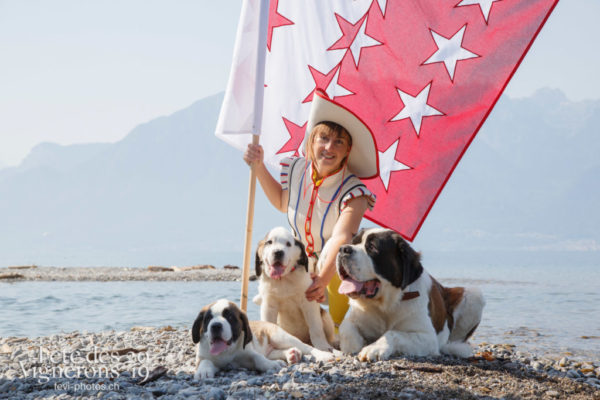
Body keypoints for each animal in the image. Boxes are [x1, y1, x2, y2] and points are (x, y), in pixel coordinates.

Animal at [191, 298, 336, 380]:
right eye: (207, 319)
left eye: (230, 317)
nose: (215, 326)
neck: (227, 352)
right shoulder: (203, 356)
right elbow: (205, 361)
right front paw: (203, 371)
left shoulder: (249, 352)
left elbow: (258, 358)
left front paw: (271, 365)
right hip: (273, 348)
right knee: (277, 351)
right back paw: (292, 354)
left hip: (280, 337)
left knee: (308, 348)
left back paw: (323, 354)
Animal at [336, 228, 486, 362]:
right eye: (353, 242)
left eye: (372, 247)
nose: (343, 249)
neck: (386, 305)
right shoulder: (355, 317)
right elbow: (345, 328)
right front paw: (354, 346)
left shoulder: (427, 337)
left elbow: (393, 333)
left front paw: (374, 348)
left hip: (474, 294)